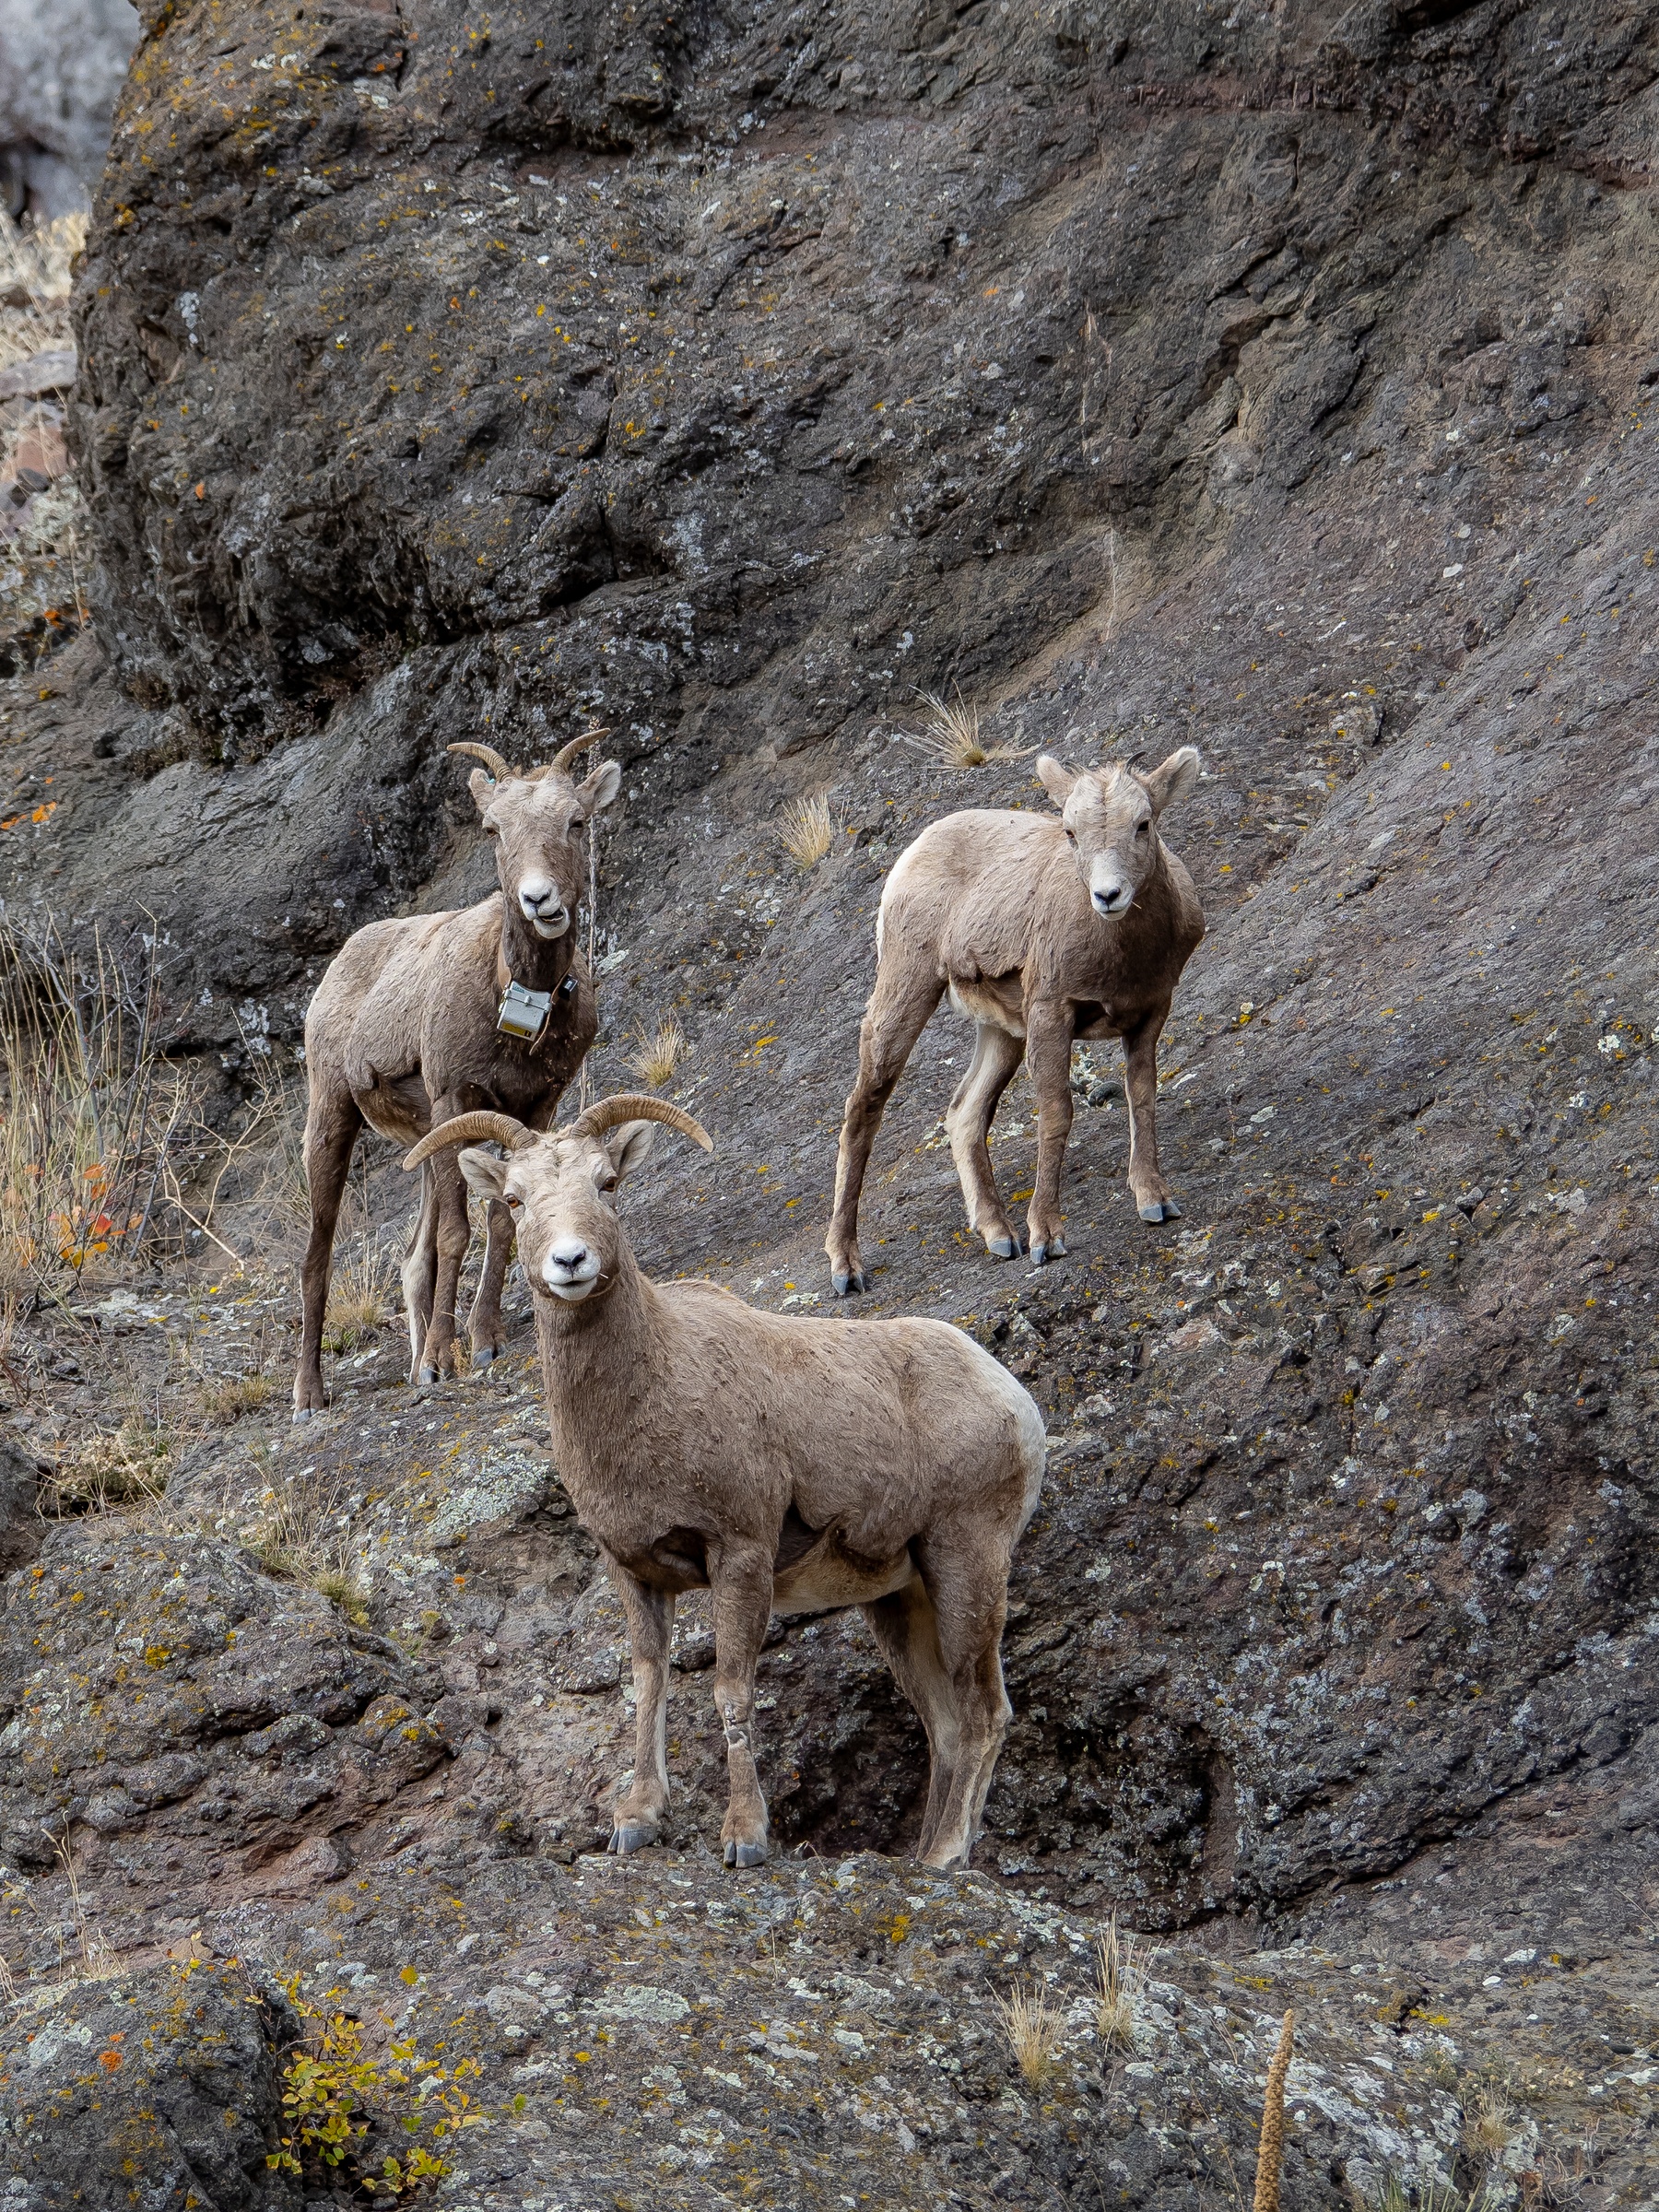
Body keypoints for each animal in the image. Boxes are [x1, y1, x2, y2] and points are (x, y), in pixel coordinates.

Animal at [292, 734, 621, 1419]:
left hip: (423, 1140)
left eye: (577, 821)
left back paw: (413, 1362)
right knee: (317, 1256)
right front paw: (445, 1361)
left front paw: (484, 1340)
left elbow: (500, 1223)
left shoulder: (534, 1109)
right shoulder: (454, 1100)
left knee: (411, 1258)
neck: (513, 999)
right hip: (332, 1119)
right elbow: (455, 1234)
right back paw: (311, 1396)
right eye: (494, 829)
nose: (540, 900)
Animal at [403, 1093, 1047, 1871]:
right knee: (946, 1723)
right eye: (516, 1199)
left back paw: (947, 1856)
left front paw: (744, 1837)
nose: (570, 1261)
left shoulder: (740, 1555)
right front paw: (636, 1821)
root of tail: (1009, 1394)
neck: (654, 1385)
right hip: (898, 1597)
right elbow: (648, 1685)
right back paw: (926, 1855)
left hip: (965, 1563)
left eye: (606, 1184)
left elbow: (731, 1691)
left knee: (984, 1713)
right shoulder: (636, 1571)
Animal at [826, 748, 1204, 1292]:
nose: (1108, 896)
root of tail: (911, 856)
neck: (1122, 955)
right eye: (1070, 831)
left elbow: (1142, 1095)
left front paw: (1155, 1202)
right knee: (863, 1111)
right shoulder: (1051, 1012)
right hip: (908, 992)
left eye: (1143, 823)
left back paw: (999, 1235)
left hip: (1002, 1030)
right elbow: (1057, 1113)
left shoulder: (1151, 1012)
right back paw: (847, 1268)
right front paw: (1047, 1239)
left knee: (964, 1113)